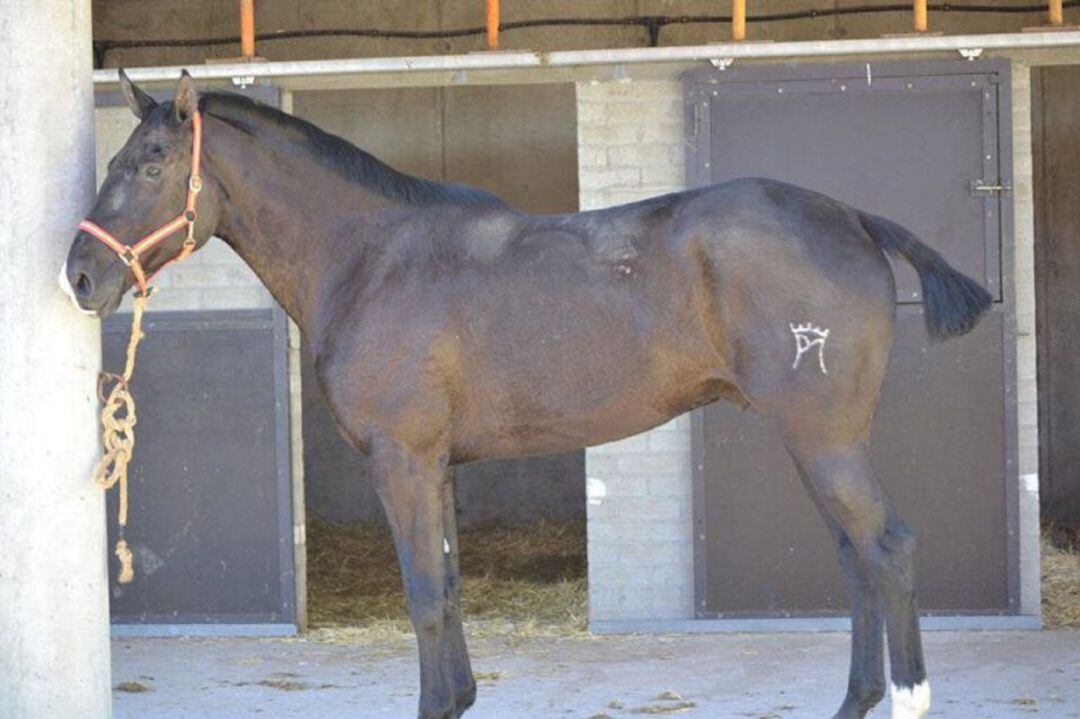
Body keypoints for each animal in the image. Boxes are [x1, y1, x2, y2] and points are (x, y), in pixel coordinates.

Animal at [59, 71, 989, 716]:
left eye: (150, 162)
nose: (81, 274)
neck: (372, 257)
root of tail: (853, 218)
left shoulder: (401, 461)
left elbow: (423, 594)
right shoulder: (436, 465)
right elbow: (446, 586)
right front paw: (459, 697)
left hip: (823, 437)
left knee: (887, 547)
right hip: (819, 441)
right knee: (857, 557)